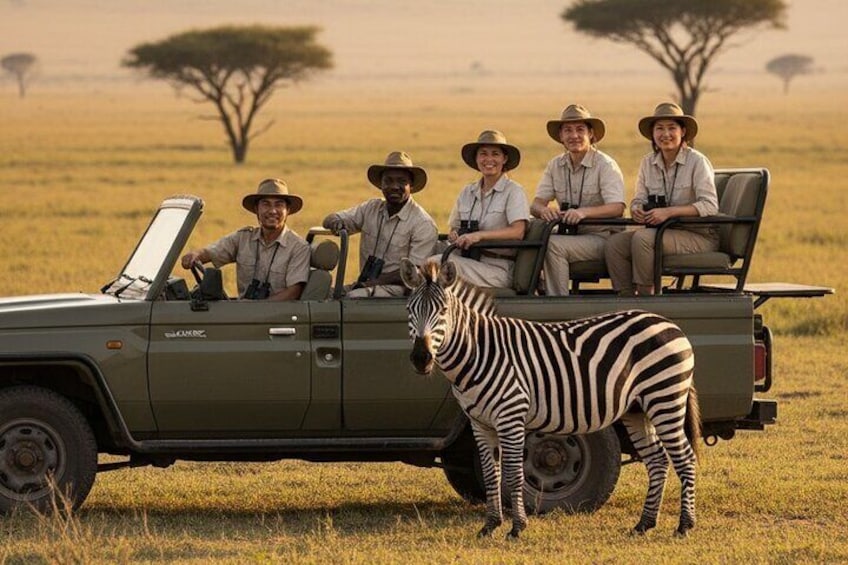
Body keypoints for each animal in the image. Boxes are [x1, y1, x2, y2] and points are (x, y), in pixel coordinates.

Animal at [399, 258, 701, 539]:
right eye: (409, 310)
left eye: (443, 311)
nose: (421, 358)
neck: (480, 353)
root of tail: (668, 323)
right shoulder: (479, 423)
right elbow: (490, 473)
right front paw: (490, 526)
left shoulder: (511, 416)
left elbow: (513, 473)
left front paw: (517, 527)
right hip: (637, 410)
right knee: (658, 460)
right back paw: (644, 524)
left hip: (665, 399)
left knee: (684, 458)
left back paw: (685, 525)